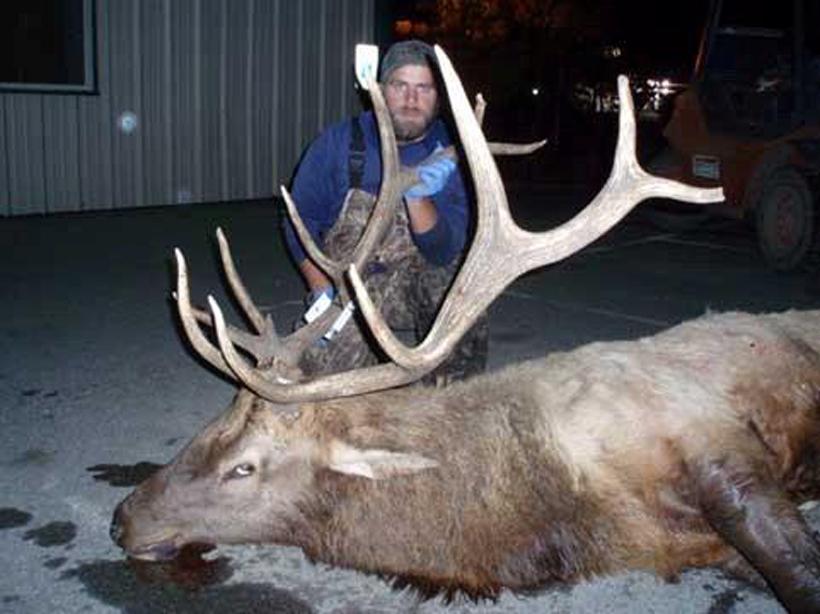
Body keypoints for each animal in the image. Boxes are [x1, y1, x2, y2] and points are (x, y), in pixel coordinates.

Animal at [110, 46, 820, 612]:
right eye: (207, 428)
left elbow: (794, 571)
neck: (564, 511)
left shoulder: (711, 439)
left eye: (244, 469)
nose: (121, 520)